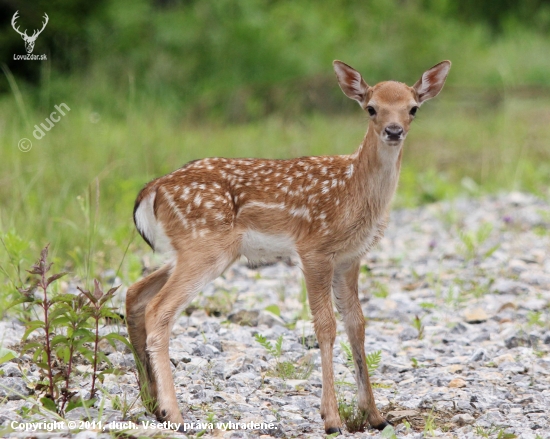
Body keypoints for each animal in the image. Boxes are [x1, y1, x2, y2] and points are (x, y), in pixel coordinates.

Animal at [126, 60, 452, 434]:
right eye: (371, 108)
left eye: (413, 108)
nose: (394, 130)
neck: (353, 191)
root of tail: (151, 189)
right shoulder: (314, 248)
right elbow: (326, 325)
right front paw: (331, 419)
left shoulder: (350, 258)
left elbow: (357, 324)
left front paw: (375, 415)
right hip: (204, 245)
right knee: (159, 309)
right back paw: (174, 414)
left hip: (192, 249)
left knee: (135, 293)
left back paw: (151, 403)